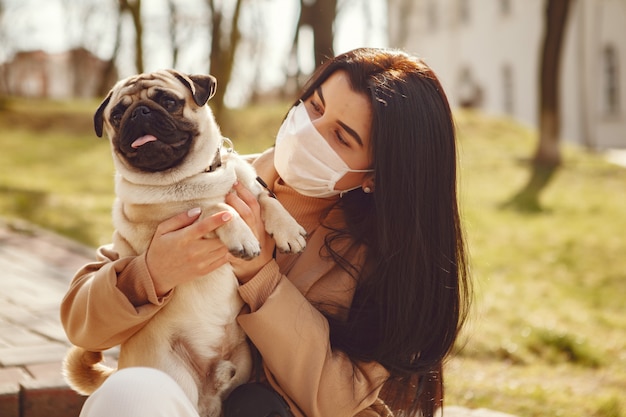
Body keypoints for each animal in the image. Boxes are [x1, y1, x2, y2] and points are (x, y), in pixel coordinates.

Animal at [62, 70, 306, 414]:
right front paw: (242, 235)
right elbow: (215, 208)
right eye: (118, 115)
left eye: (168, 101)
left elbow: (266, 200)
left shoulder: (251, 190)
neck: (195, 176)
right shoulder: (170, 225)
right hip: (172, 375)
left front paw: (289, 231)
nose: (139, 112)